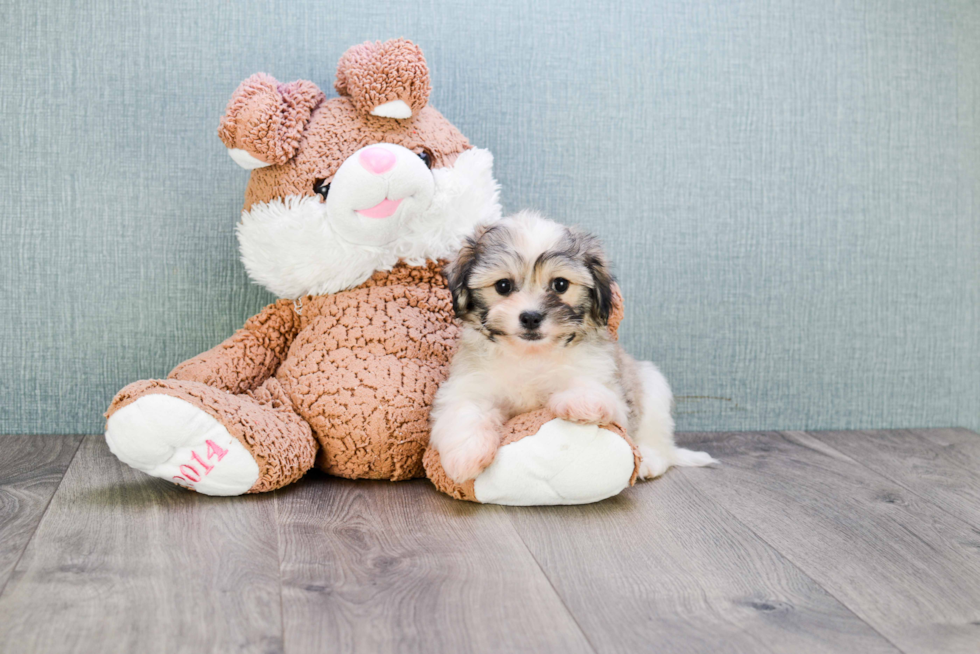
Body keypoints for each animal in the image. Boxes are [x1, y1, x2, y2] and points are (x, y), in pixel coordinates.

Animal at [432, 213, 716, 484]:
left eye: (560, 284)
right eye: (503, 286)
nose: (531, 317)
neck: (531, 355)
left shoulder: (608, 385)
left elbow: (591, 389)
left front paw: (577, 401)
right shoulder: (471, 383)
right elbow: (466, 409)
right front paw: (466, 455)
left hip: (652, 386)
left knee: (656, 436)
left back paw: (649, 460)